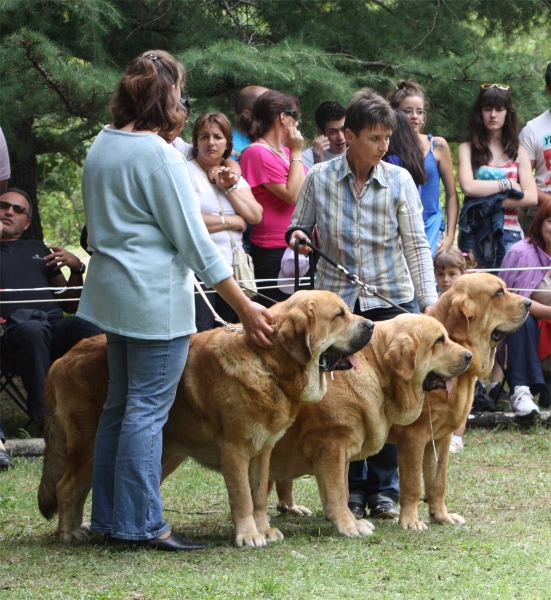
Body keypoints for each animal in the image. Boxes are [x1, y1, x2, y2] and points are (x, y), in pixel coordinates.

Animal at [37, 290, 376, 548]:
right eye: (340, 315)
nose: (372, 324)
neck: (267, 364)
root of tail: (60, 360)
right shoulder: (235, 450)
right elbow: (242, 498)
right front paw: (248, 535)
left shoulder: (262, 451)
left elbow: (258, 496)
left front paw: (264, 529)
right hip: (89, 445)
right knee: (66, 487)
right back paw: (68, 533)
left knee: (82, 489)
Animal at [386, 272, 532, 528]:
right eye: (499, 292)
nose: (529, 303)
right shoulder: (413, 437)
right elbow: (413, 483)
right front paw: (411, 521)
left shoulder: (440, 438)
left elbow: (437, 481)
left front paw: (441, 516)